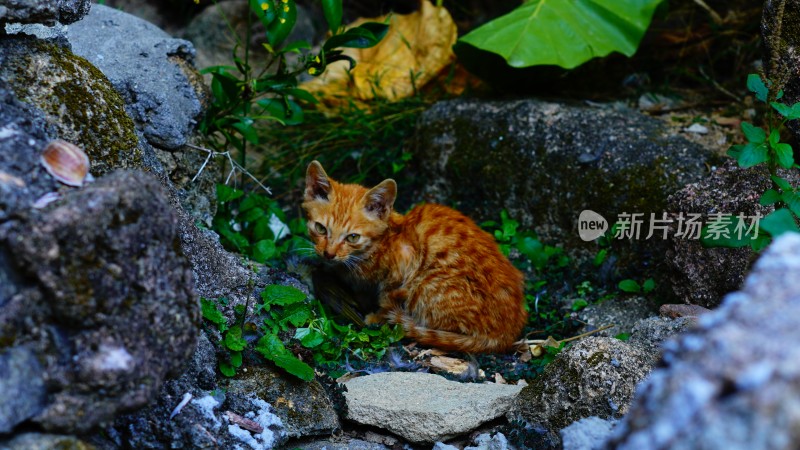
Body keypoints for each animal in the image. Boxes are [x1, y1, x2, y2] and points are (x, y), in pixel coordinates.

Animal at [304, 160, 528, 354]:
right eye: (320, 228)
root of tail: (507, 334)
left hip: (425, 285)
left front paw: (376, 316)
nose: (329, 253)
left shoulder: (405, 261)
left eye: (352, 237)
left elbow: (387, 296)